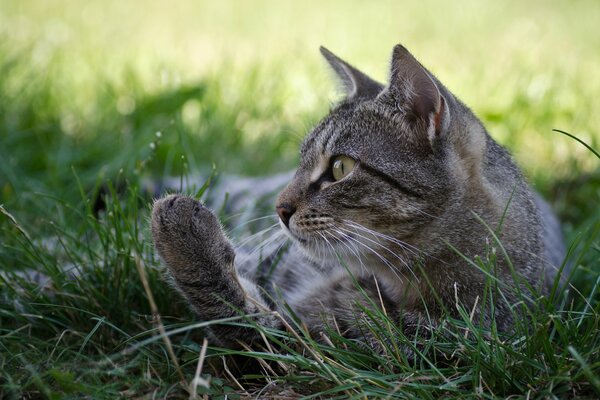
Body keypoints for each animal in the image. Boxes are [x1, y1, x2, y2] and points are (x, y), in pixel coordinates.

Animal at [150, 43, 568, 350]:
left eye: (340, 168)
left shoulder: (325, 346)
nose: (279, 209)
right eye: (300, 161)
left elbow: (240, 319)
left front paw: (180, 231)